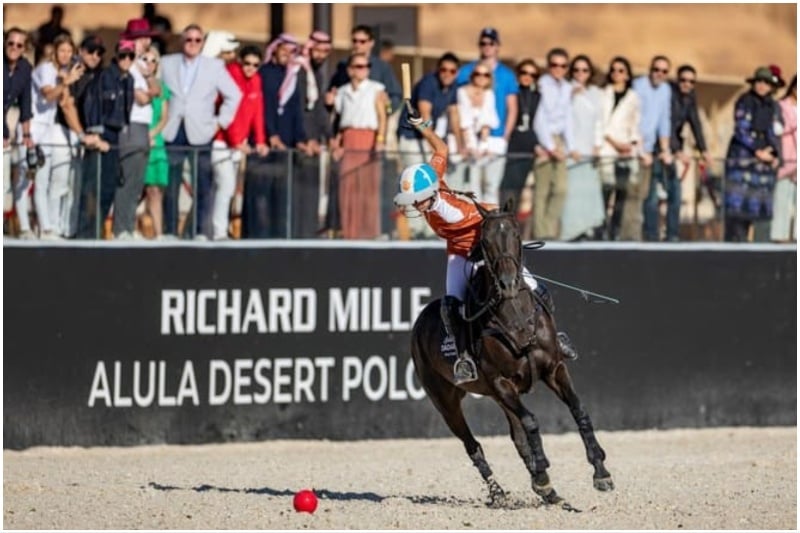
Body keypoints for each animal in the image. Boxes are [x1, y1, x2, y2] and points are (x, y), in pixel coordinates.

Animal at [412, 198, 612, 508]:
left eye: (516, 234)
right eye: (485, 240)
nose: (507, 283)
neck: (515, 315)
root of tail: (419, 322)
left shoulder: (554, 369)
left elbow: (579, 410)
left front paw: (600, 471)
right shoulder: (501, 382)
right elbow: (531, 422)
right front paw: (543, 475)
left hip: (496, 397)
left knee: (516, 438)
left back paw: (546, 490)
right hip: (445, 400)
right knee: (473, 445)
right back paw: (500, 493)